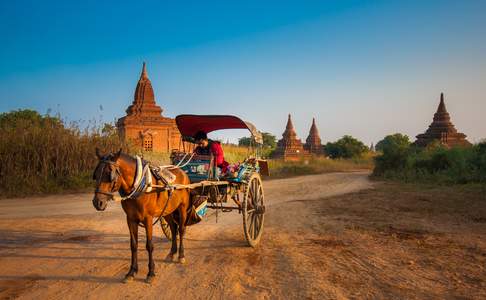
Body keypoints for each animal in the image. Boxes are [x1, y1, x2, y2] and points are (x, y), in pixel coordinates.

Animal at [92, 149, 191, 284]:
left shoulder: (147, 219)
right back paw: (172, 253)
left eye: (109, 175)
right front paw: (131, 272)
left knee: (181, 230)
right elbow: (133, 245)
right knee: (173, 228)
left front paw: (151, 273)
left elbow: (149, 245)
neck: (139, 185)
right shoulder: (130, 219)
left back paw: (181, 255)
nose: (98, 203)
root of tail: (182, 171)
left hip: (182, 207)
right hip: (167, 210)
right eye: (96, 175)